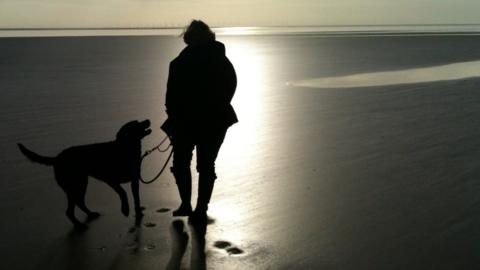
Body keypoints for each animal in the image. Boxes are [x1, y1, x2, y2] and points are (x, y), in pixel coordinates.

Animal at [17, 120, 151, 230]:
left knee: (80, 202)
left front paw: (138, 213)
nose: (148, 120)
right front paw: (125, 209)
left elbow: (137, 198)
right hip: (74, 186)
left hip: (81, 184)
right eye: (136, 124)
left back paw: (90, 214)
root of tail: (57, 158)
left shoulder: (134, 180)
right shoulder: (110, 180)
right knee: (70, 210)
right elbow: (123, 192)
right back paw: (79, 226)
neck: (125, 148)